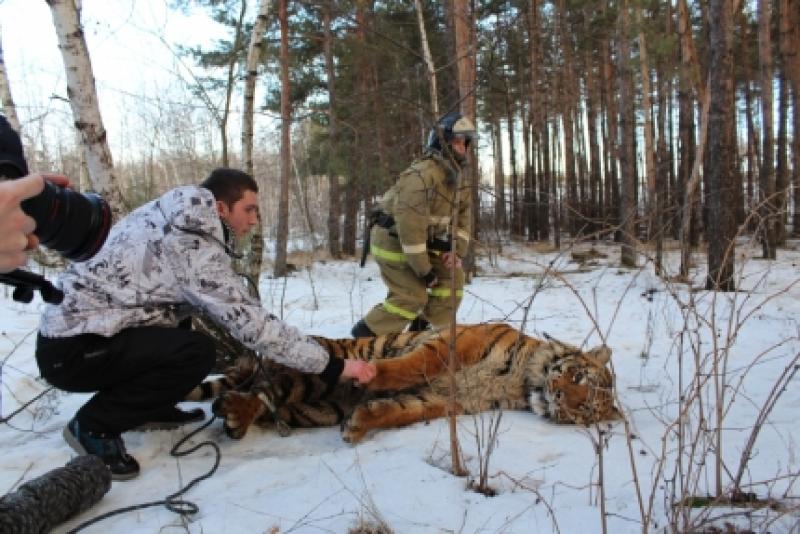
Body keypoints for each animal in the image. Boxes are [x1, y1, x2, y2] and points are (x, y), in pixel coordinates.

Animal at [184, 322, 620, 444]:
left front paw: (360, 424)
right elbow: (410, 364)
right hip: (310, 366)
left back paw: (234, 415)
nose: (560, 397)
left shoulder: (446, 400)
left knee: (264, 398)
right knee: (262, 383)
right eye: (577, 377)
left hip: (315, 404)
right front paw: (372, 375)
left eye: (583, 408)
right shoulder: (453, 343)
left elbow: (400, 411)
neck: (520, 382)